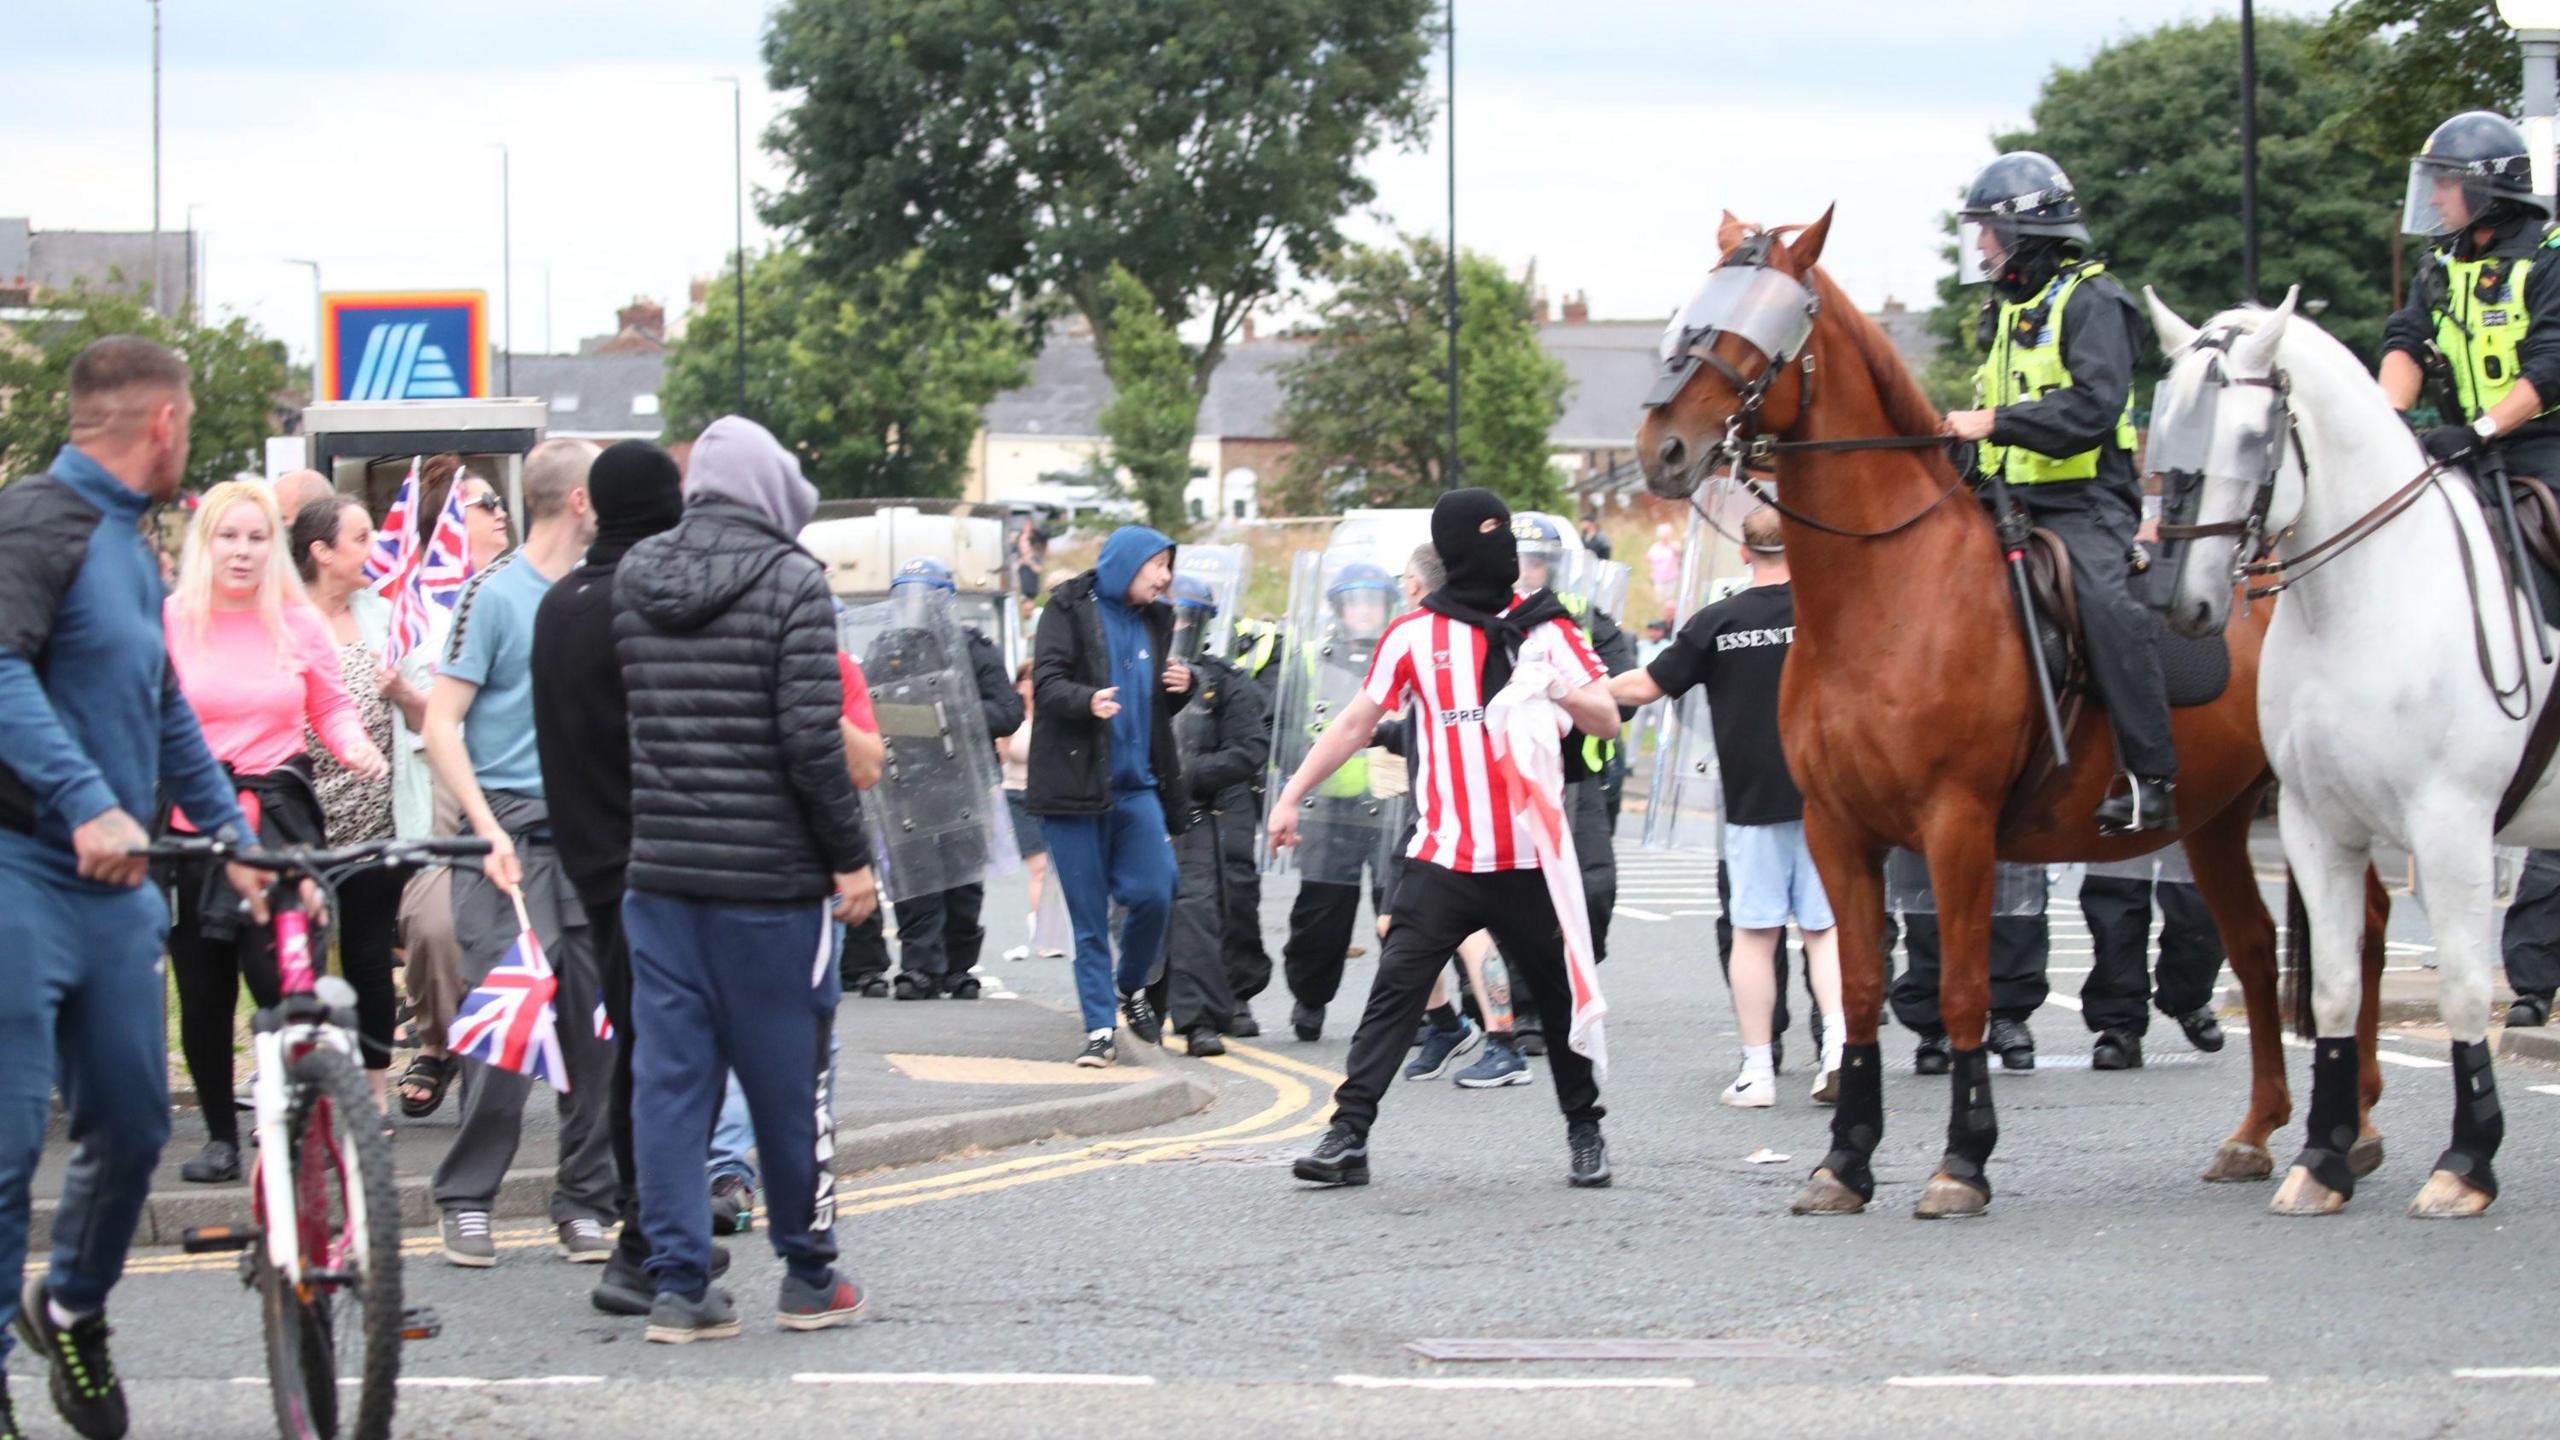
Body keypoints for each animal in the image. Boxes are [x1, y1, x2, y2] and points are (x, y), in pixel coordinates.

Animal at [1638, 212, 2375, 1214]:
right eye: (1693, 309)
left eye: (1763, 321)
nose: (1662, 447)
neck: (1884, 594)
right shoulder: (1838, 829)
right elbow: (1858, 991)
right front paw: (1846, 1160)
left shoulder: (1956, 826)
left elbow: (1964, 994)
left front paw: (1962, 1161)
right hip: (2221, 818)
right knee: (2259, 950)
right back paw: (2259, 1131)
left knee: (2358, 938)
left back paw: (2356, 1128)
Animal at [2150, 288, 2549, 1209]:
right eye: (2162, 420)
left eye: (2251, 435)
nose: (2182, 601)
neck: (2368, 597)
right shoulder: (2316, 823)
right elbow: (2332, 988)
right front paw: (2321, 1158)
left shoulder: (2451, 827)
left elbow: (2464, 988)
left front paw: (2465, 1164)